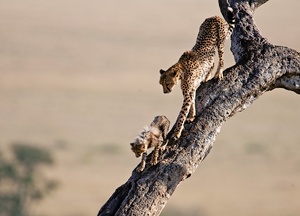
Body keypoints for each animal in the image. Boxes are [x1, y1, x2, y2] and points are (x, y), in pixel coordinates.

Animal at [159, 5, 234, 141]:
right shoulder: (191, 89)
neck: (181, 70)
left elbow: (183, 112)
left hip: (220, 42)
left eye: (167, 84)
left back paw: (218, 74)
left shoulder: (188, 91)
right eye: (161, 84)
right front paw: (192, 116)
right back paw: (207, 76)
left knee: (221, 59)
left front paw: (177, 132)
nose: (165, 92)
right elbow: (193, 101)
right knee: (212, 62)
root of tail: (215, 16)